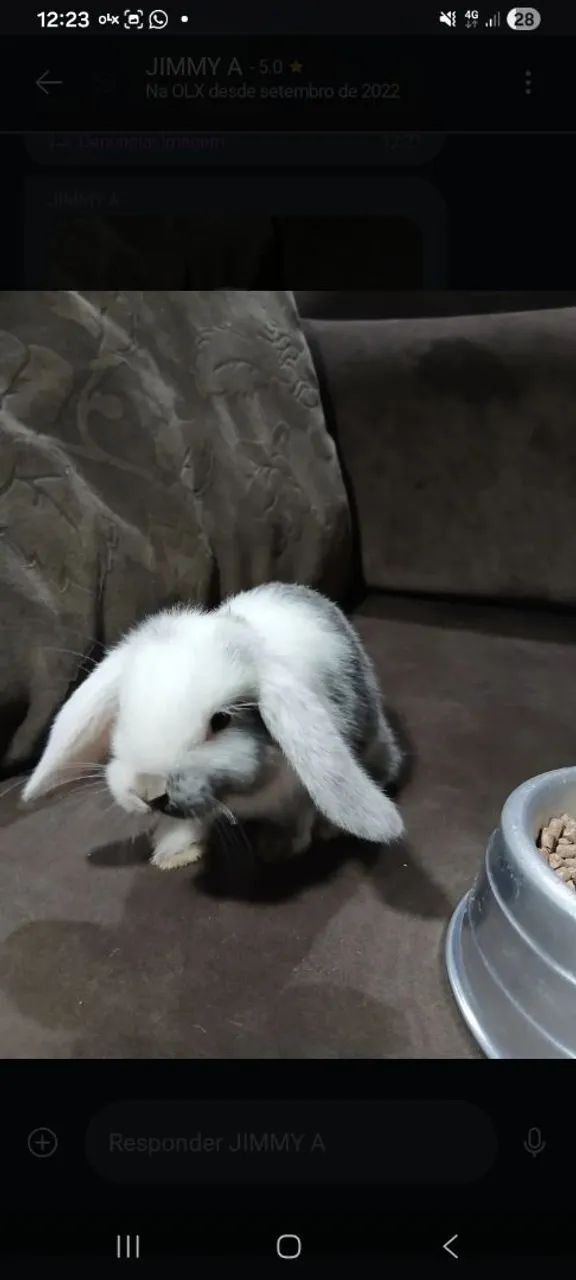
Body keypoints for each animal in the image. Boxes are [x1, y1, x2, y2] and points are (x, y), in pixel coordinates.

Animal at [21, 583, 405, 870]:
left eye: (221, 720)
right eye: (124, 709)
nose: (148, 791)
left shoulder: (297, 792)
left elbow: (297, 815)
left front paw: (277, 848)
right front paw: (173, 852)